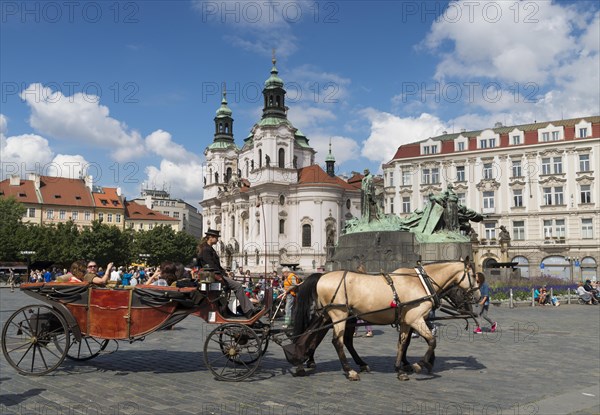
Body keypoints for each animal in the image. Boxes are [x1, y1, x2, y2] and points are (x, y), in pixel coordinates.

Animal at [284, 258, 480, 382]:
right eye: (473, 276)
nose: (477, 298)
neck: (421, 282)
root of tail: (322, 276)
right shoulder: (416, 319)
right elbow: (431, 341)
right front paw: (419, 364)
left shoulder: (406, 322)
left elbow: (403, 344)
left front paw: (400, 369)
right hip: (339, 316)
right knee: (336, 341)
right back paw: (349, 371)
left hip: (332, 316)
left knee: (315, 335)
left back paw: (301, 360)